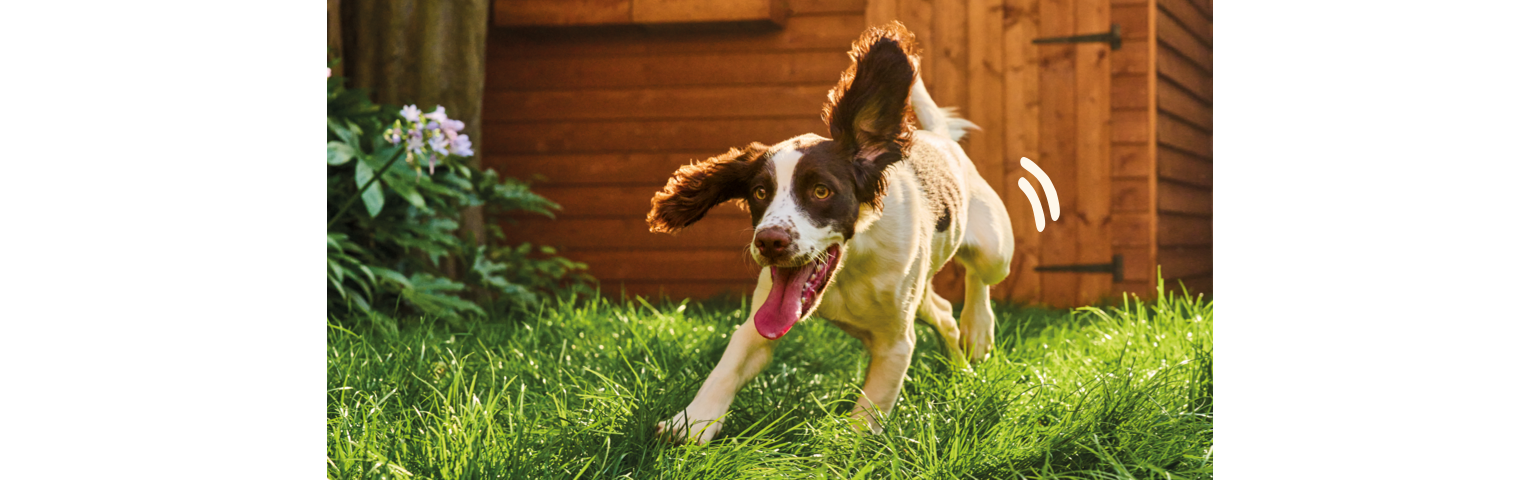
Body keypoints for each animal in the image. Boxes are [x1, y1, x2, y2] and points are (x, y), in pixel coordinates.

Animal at [640, 20, 1010, 443]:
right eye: (760, 192)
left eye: (821, 191)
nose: (769, 241)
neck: (848, 269)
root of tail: (942, 140)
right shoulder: (759, 325)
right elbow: (727, 367)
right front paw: (691, 423)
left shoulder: (895, 344)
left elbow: (867, 414)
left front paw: (843, 447)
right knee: (944, 313)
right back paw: (962, 369)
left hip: (995, 249)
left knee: (980, 277)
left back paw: (978, 328)